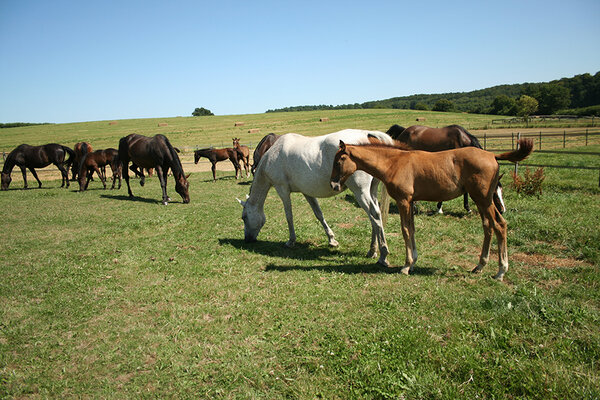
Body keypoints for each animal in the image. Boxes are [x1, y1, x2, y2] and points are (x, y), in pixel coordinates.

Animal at [237, 128, 396, 266]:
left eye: (244, 217)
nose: (247, 240)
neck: (273, 155)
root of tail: (367, 134)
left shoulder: (282, 189)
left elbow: (289, 216)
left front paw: (291, 241)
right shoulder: (307, 192)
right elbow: (319, 214)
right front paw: (332, 240)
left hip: (360, 192)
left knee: (374, 215)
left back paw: (383, 255)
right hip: (371, 191)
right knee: (375, 216)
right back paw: (372, 251)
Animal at [328, 138, 536, 282]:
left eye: (338, 162)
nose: (333, 185)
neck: (394, 163)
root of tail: (492, 155)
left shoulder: (404, 201)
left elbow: (405, 230)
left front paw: (406, 266)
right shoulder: (411, 202)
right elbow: (412, 229)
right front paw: (413, 262)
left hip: (483, 198)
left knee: (499, 225)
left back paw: (500, 271)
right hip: (481, 200)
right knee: (488, 226)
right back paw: (480, 266)